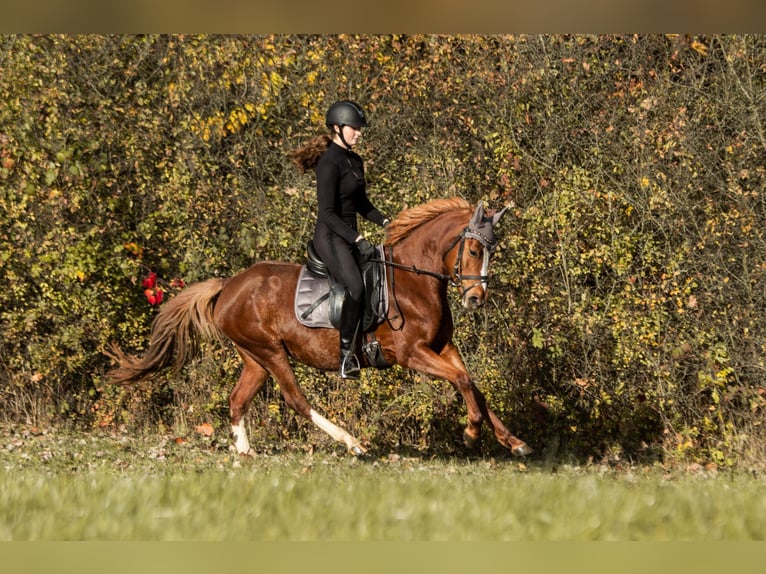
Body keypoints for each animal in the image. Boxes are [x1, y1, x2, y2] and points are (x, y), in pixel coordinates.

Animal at [106, 198, 536, 460]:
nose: (476, 298)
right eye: (475, 250)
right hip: (271, 352)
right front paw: (471, 434)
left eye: (493, 251)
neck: (414, 280)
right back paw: (353, 444)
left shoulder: (442, 347)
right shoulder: (412, 353)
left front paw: (513, 442)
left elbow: (473, 384)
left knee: (237, 399)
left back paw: (244, 451)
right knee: (296, 400)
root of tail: (228, 285)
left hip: (255, 358)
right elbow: (462, 382)